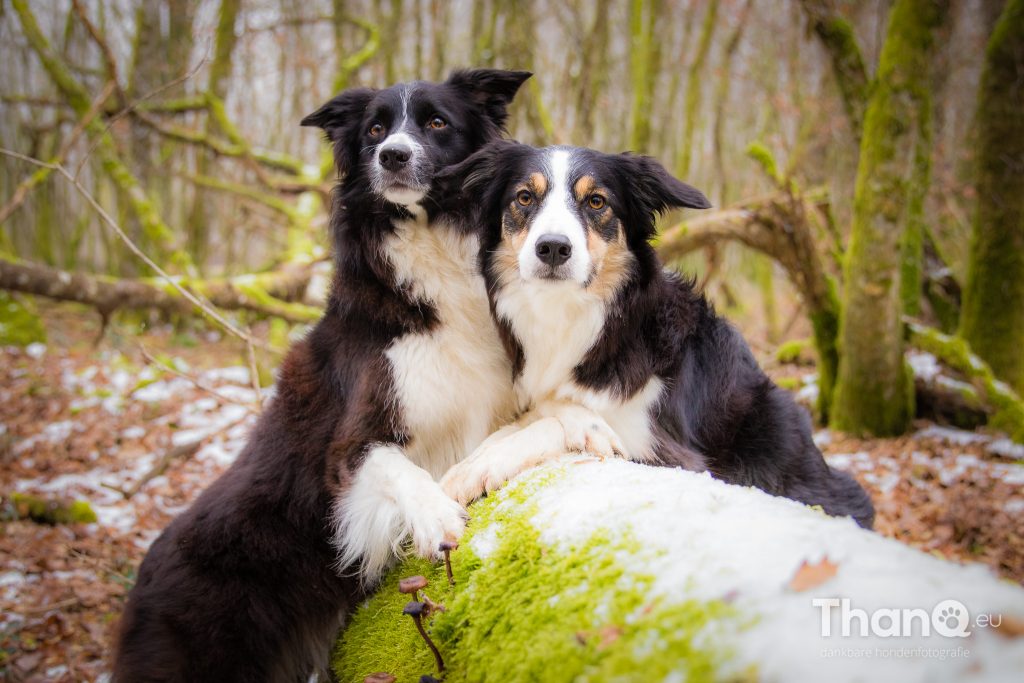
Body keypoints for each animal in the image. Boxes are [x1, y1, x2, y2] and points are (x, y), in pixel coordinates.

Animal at [438, 143, 872, 528]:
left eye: (597, 202)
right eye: (525, 197)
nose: (553, 248)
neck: (579, 316)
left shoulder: (672, 454)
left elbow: (553, 424)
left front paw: (477, 468)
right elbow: (528, 418)